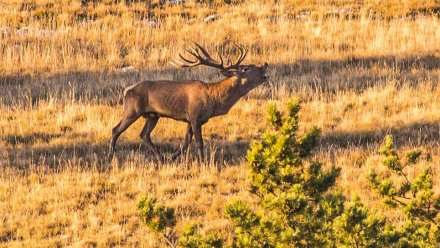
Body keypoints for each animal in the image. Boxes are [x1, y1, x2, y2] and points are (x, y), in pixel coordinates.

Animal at [108, 43, 270, 162]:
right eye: (247, 68)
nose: (265, 64)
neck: (214, 99)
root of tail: (127, 90)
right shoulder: (194, 116)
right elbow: (199, 142)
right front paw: (203, 162)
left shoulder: (190, 119)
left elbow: (186, 142)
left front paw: (173, 158)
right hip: (132, 110)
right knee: (116, 129)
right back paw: (111, 156)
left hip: (153, 115)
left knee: (144, 135)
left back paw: (161, 157)